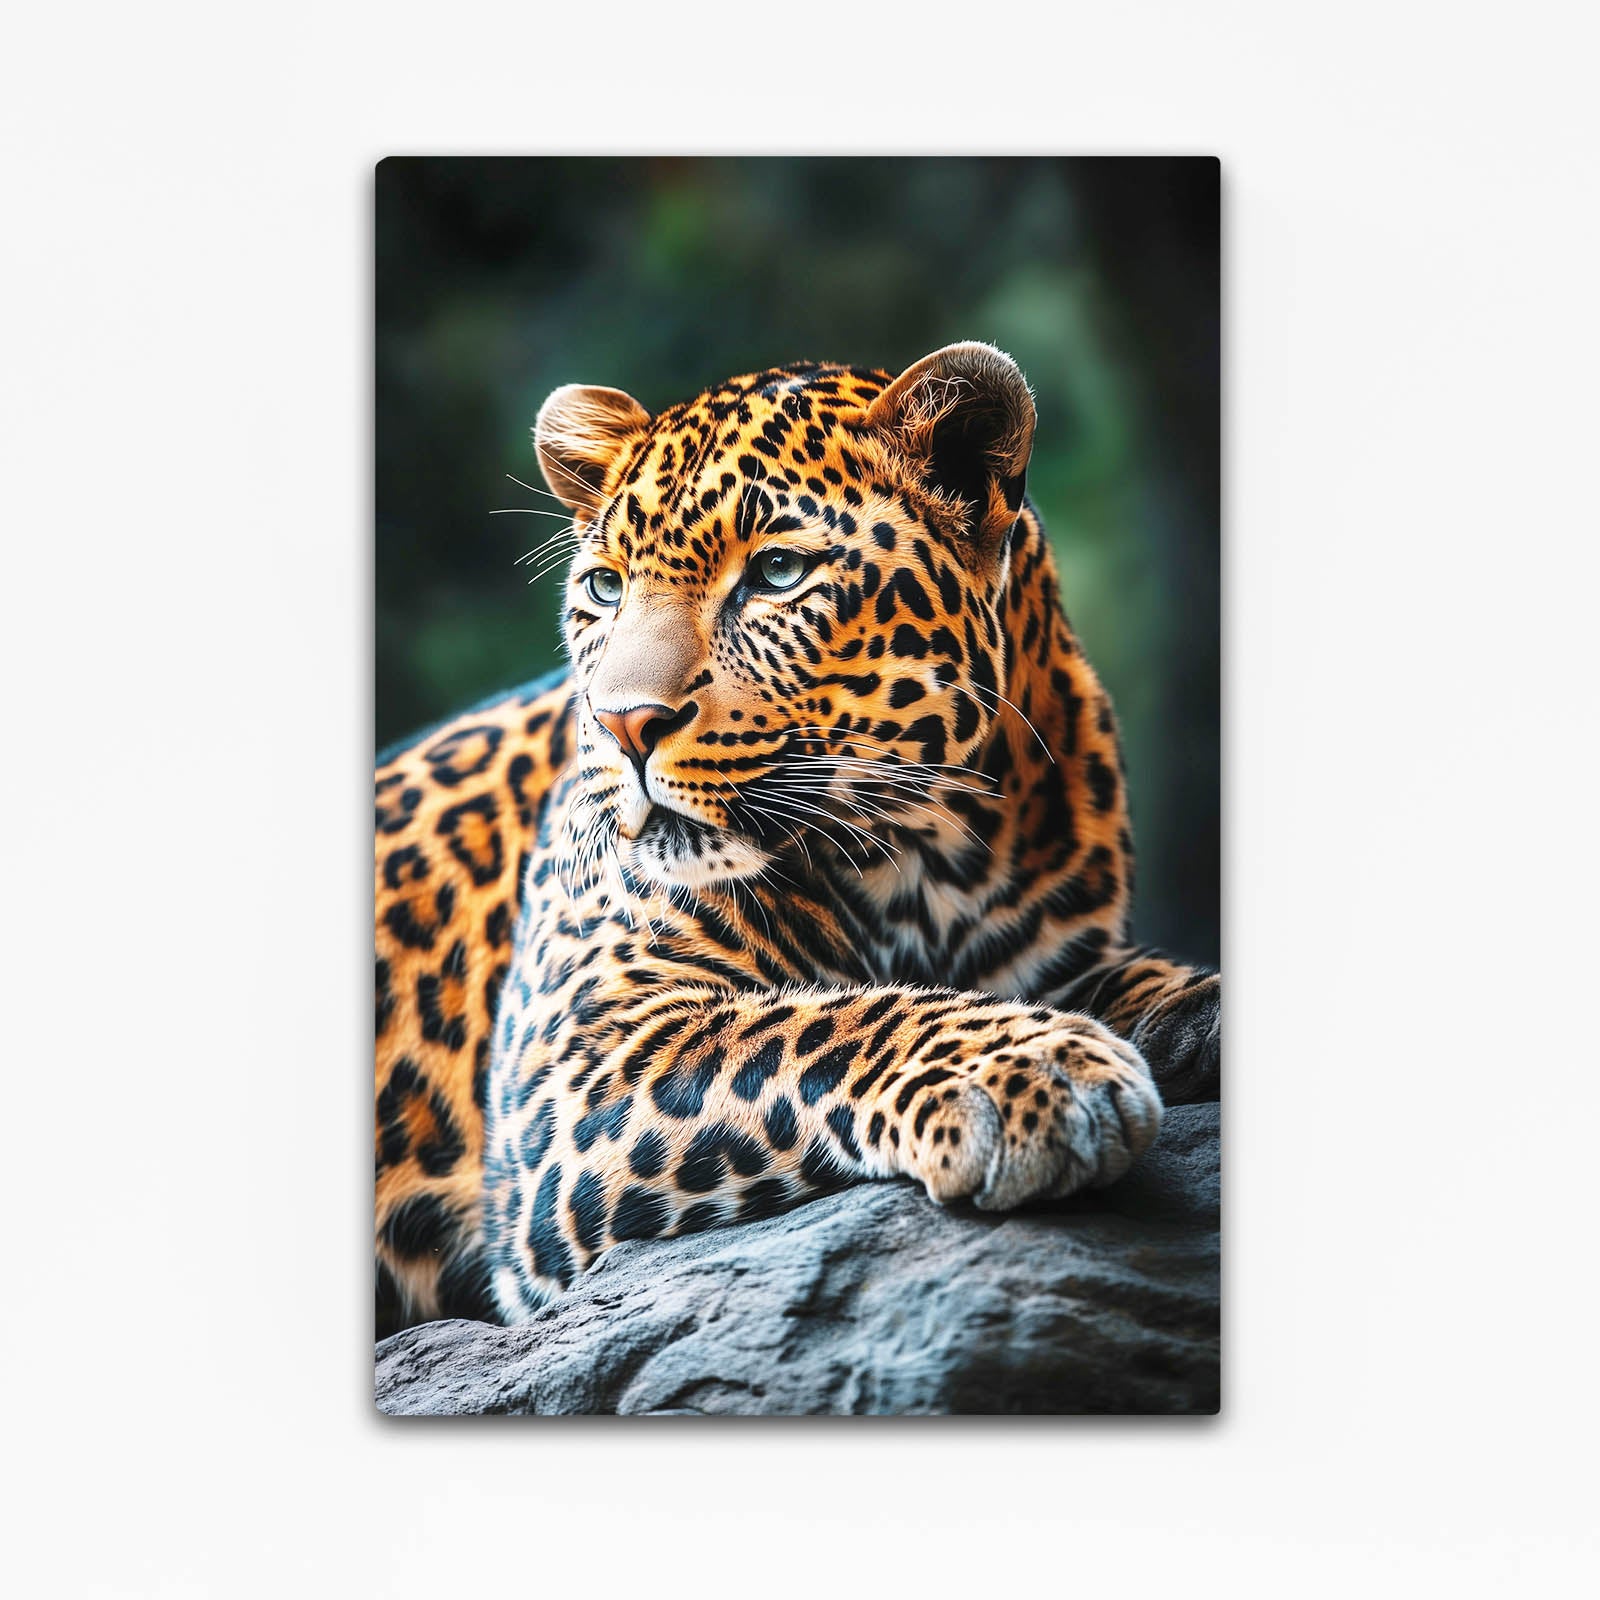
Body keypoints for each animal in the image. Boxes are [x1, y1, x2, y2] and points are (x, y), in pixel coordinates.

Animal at [374, 341, 1220, 1335]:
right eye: (604, 588)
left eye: (777, 573)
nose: (624, 725)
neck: (933, 858)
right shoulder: (584, 1052)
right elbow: (824, 1021)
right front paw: (1032, 1070)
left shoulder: (1056, 958)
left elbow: (1136, 977)